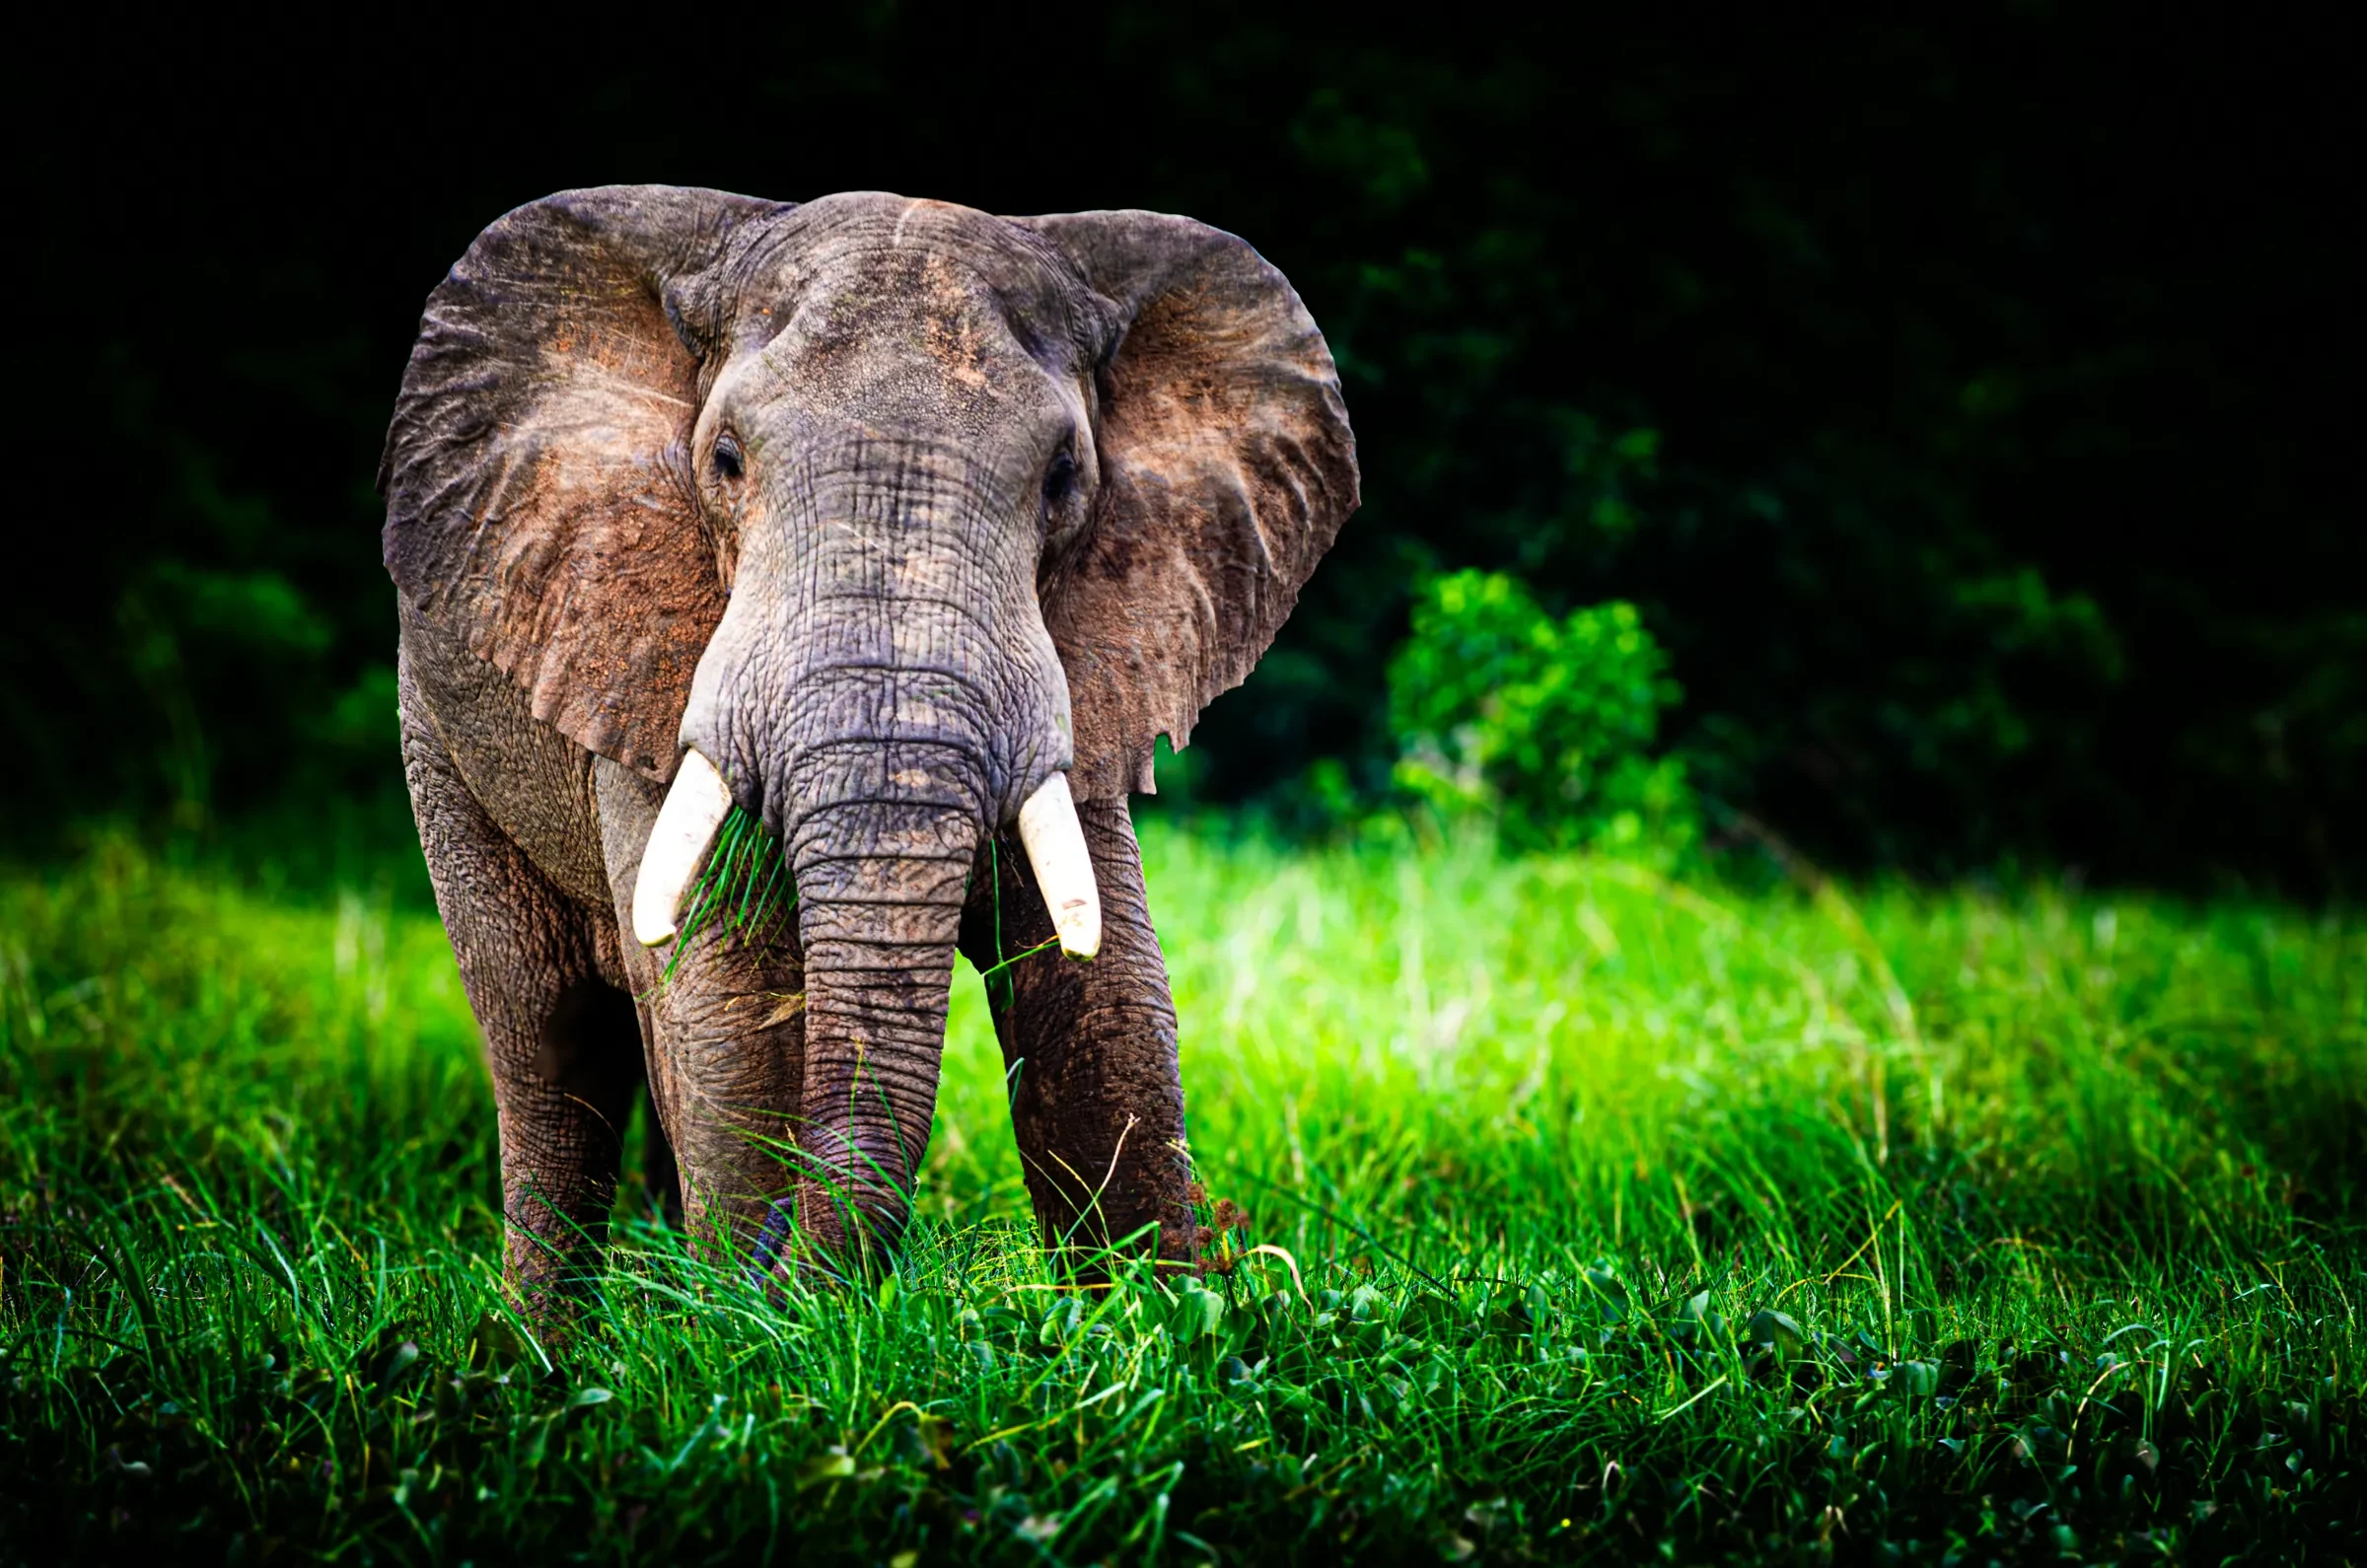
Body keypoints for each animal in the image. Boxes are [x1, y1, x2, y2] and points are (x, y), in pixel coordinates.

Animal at [380, 186, 1358, 1299]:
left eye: (1064, 475)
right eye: (725, 461)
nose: (782, 1268)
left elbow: (1105, 1001)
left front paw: (1165, 1319)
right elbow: (728, 1001)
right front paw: (763, 1327)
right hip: (439, 746)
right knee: (551, 1046)